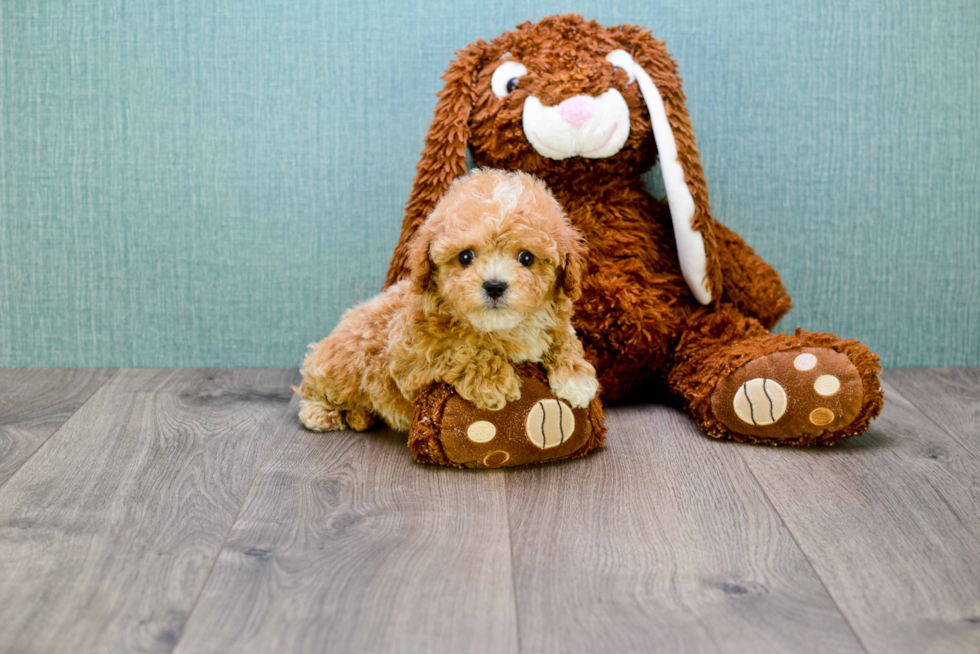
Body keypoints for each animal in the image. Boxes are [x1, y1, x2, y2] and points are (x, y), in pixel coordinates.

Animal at [292, 169, 596, 436]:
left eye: (527, 258)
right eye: (465, 257)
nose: (494, 286)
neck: (501, 328)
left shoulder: (554, 323)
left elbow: (565, 339)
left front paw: (576, 377)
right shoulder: (408, 356)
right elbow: (457, 349)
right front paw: (493, 381)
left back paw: (360, 416)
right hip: (339, 369)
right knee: (313, 389)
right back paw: (322, 413)